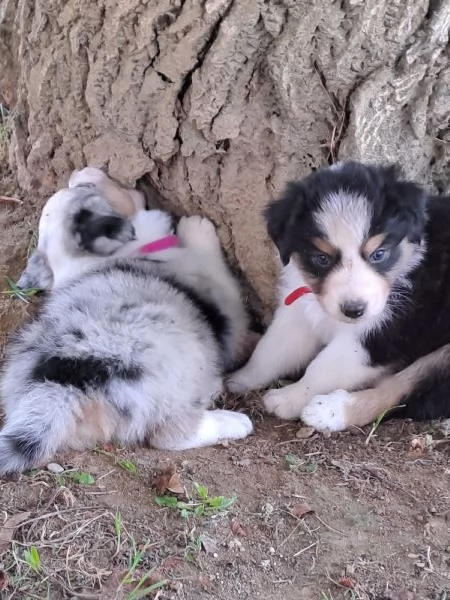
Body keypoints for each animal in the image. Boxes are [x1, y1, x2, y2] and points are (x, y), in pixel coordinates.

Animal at [0, 183, 253, 474]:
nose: (85, 181)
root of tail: (63, 384)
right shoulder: (222, 293)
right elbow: (213, 263)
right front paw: (194, 226)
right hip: (179, 369)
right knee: (171, 435)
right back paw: (235, 421)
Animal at [229, 161, 450, 432]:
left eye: (379, 254)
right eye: (322, 258)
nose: (354, 310)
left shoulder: (379, 335)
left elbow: (323, 367)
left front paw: (290, 398)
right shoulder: (298, 311)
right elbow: (271, 350)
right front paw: (240, 378)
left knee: (399, 392)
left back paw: (328, 411)